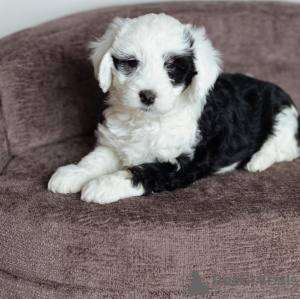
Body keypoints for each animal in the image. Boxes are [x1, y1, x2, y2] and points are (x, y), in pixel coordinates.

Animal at [48, 13, 298, 204]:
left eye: (171, 67)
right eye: (131, 63)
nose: (147, 96)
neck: (149, 120)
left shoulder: (182, 162)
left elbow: (142, 172)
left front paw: (102, 185)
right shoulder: (116, 144)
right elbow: (96, 159)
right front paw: (73, 173)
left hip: (284, 117)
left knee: (285, 147)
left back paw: (258, 160)